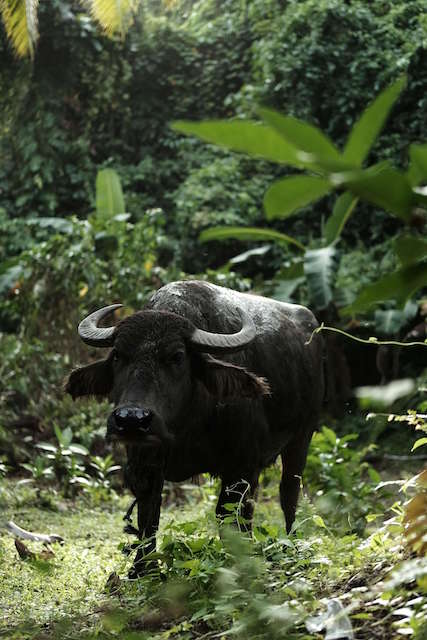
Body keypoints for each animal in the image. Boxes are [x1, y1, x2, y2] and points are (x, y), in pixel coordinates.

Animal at [66, 280, 324, 576]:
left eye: (177, 356)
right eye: (118, 355)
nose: (132, 419)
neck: (185, 424)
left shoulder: (243, 467)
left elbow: (232, 516)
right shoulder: (144, 465)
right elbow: (148, 515)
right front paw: (142, 569)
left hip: (302, 436)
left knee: (289, 492)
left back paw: (293, 542)